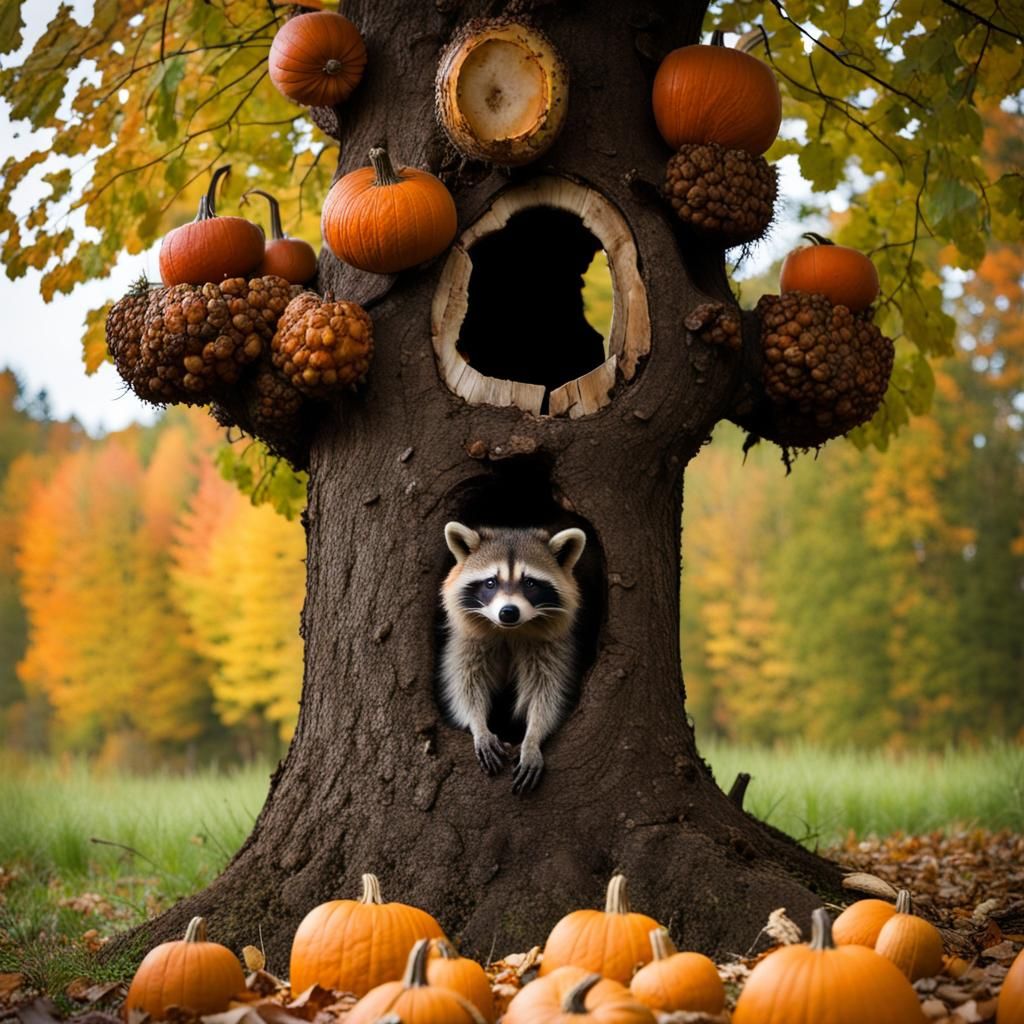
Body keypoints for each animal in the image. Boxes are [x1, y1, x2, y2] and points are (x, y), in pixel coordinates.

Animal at [439, 522, 587, 794]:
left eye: (529, 583)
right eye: (490, 583)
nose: (508, 612)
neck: (509, 630)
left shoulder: (551, 648)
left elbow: (547, 692)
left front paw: (533, 737)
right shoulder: (466, 642)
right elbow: (465, 684)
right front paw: (478, 725)